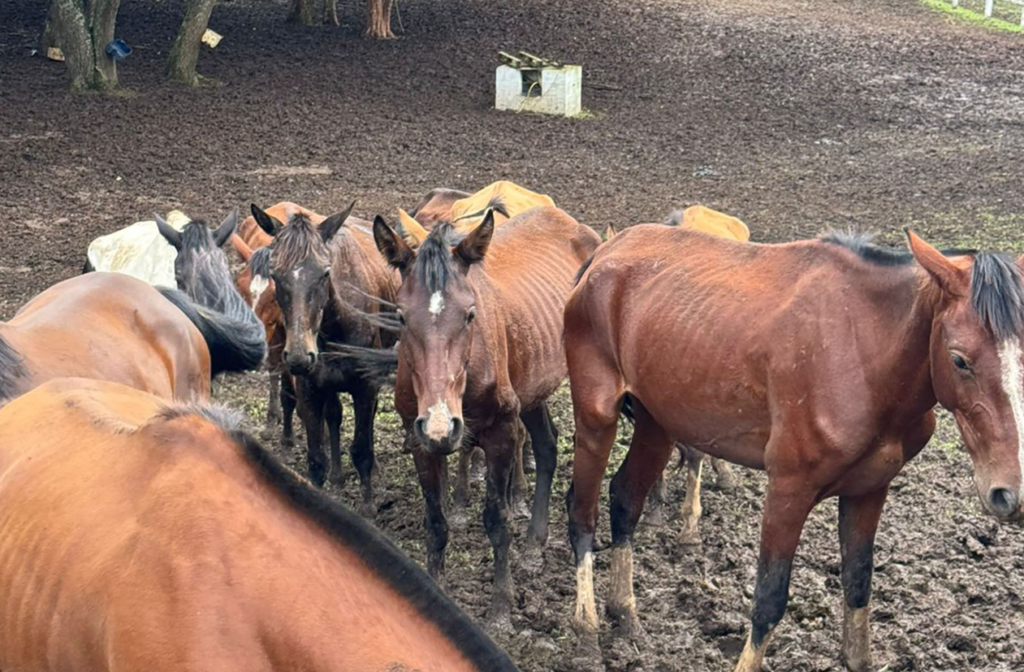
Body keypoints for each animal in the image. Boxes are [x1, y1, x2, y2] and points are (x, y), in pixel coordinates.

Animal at [247, 201, 399, 512]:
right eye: (275, 275)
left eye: (325, 273)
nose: (299, 357)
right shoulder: (310, 388)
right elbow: (317, 459)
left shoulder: (366, 386)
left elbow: (362, 450)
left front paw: (368, 505)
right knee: (333, 417)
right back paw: (338, 477)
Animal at [374, 205, 598, 631]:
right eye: (401, 316)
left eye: (470, 314)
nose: (441, 424)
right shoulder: (419, 439)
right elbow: (436, 521)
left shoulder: (501, 432)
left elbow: (497, 520)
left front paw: (501, 609)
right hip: (531, 387)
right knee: (547, 445)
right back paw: (534, 545)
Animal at [565, 227, 1024, 672]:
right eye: (960, 360)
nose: (1010, 494)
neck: (862, 349)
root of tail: (605, 253)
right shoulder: (788, 489)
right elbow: (769, 598)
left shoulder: (869, 488)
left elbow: (858, 584)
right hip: (596, 417)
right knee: (582, 511)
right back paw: (586, 630)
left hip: (658, 423)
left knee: (624, 500)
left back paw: (625, 613)